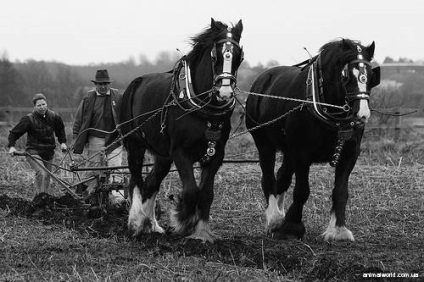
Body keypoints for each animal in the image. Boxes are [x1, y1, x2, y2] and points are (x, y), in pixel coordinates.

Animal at [121, 18, 243, 242]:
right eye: (215, 55)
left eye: (239, 56)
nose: (224, 93)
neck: (204, 110)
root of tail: (135, 82)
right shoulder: (181, 153)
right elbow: (191, 191)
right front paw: (183, 221)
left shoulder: (215, 155)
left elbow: (206, 194)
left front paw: (201, 233)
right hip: (134, 146)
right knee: (136, 181)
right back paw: (136, 224)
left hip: (163, 155)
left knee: (151, 183)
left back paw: (151, 225)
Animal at [245, 38, 380, 241]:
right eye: (346, 76)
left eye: (371, 76)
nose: (362, 115)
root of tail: (262, 79)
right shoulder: (302, 153)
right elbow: (302, 191)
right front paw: (292, 226)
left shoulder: (349, 153)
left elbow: (340, 191)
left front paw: (338, 230)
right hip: (264, 144)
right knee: (268, 179)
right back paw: (274, 219)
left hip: (288, 151)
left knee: (282, 177)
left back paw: (280, 215)